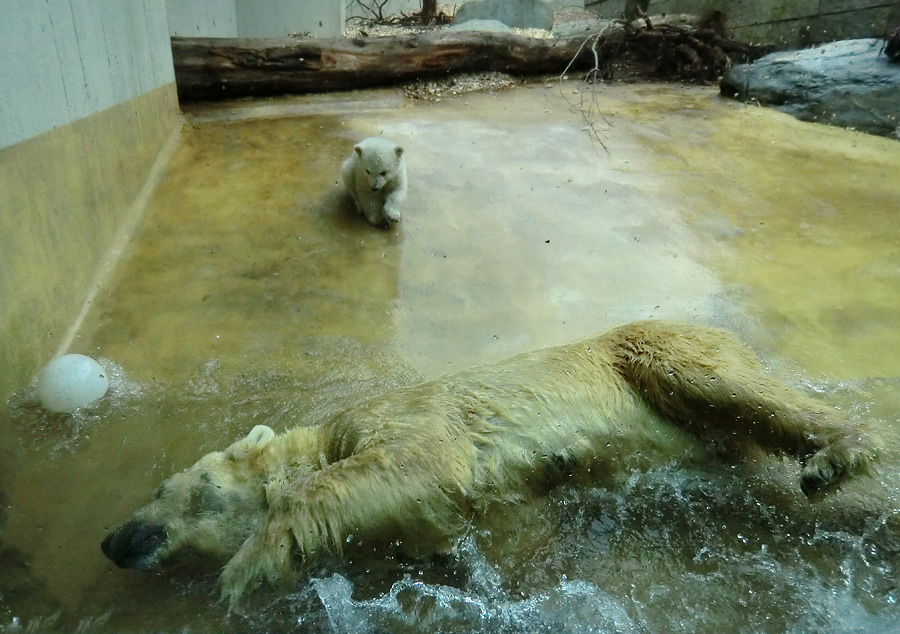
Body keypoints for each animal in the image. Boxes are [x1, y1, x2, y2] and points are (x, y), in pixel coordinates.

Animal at [102, 320, 876, 608]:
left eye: (173, 487)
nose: (114, 539)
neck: (322, 439)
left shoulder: (394, 420)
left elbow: (420, 458)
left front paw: (245, 571)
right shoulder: (476, 513)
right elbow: (503, 535)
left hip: (652, 348)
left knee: (720, 386)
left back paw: (838, 458)